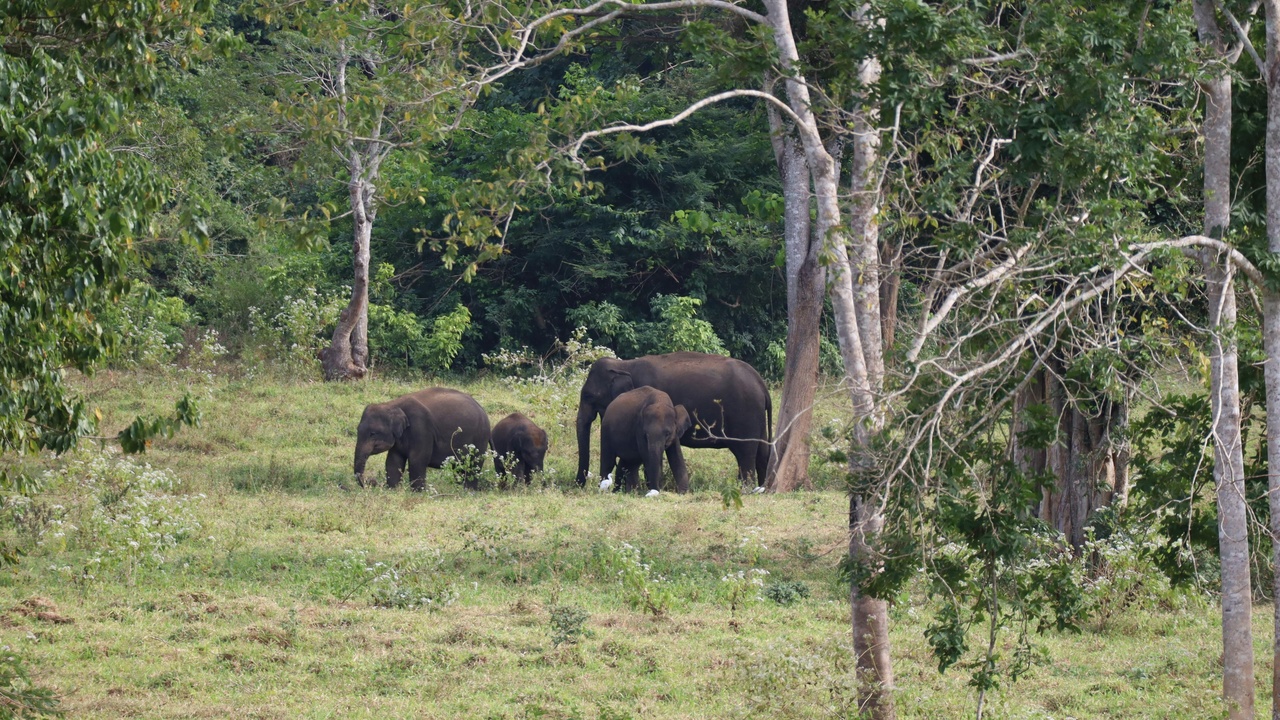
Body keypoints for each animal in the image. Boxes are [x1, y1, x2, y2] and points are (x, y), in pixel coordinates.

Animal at [353, 387, 491, 491]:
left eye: (373, 433)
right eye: (357, 430)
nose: (372, 481)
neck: (392, 404)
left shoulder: (421, 428)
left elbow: (417, 459)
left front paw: (417, 492)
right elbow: (393, 461)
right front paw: (393, 489)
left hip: (480, 437)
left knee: (473, 465)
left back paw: (468, 490)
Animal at [575, 352, 772, 488]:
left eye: (588, 396)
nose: (578, 484)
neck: (624, 364)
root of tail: (761, 384)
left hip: (746, 415)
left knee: (745, 453)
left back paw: (745, 489)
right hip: (757, 418)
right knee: (762, 453)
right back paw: (761, 488)